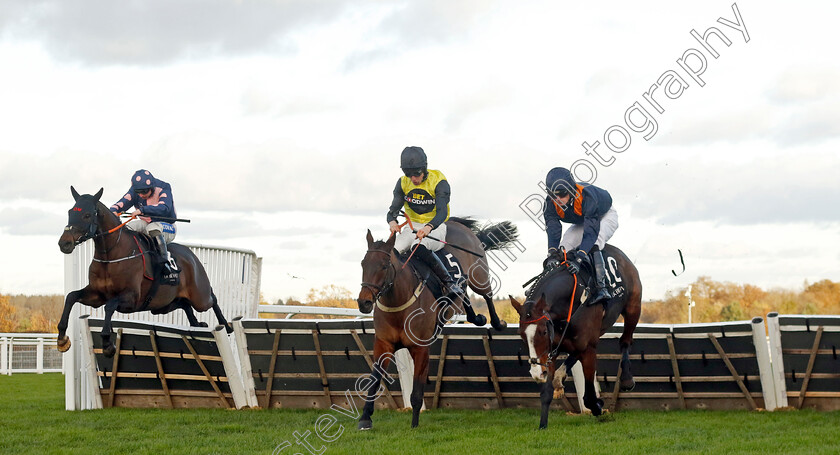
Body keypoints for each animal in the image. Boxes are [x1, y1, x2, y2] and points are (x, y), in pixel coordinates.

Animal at [57, 187, 231, 358]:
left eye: (87, 215)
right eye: (70, 212)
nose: (64, 243)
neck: (112, 255)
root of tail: (191, 256)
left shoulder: (131, 298)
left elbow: (109, 305)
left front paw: (107, 343)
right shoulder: (97, 295)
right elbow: (71, 296)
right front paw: (62, 339)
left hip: (199, 298)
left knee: (212, 298)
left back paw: (226, 325)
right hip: (163, 305)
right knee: (185, 304)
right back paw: (198, 323)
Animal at [354, 218, 520, 432]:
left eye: (384, 266)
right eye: (363, 264)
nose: (364, 302)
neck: (399, 303)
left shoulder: (420, 348)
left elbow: (417, 390)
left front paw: (414, 424)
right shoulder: (383, 344)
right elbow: (374, 380)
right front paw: (365, 418)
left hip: (479, 274)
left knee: (487, 295)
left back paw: (498, 323)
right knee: (463, 294)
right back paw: (477, 317)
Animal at [508, 244, 640, 430]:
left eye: (543, 332)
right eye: (521, 334)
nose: (536, 373)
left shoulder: (589, 348)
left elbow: (589, 395)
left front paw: (598, 407)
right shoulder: (551, 351)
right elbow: (546, 392)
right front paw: (542, 425)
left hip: (633, 308)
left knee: (625, 341)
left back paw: (627, 379)